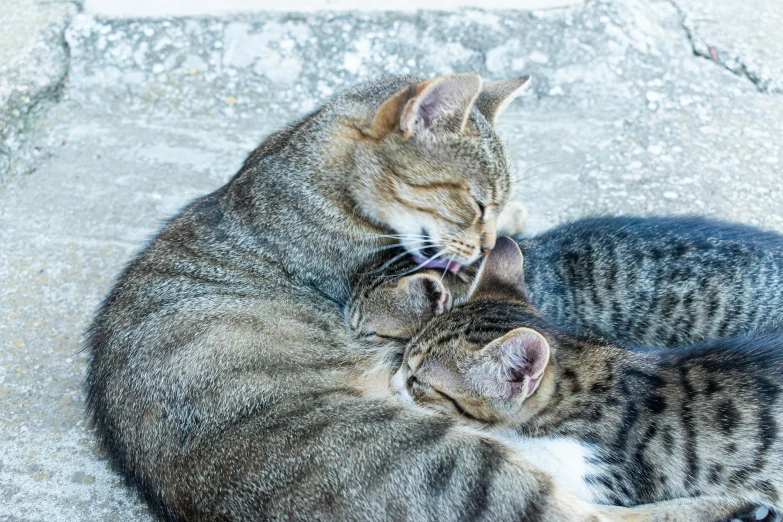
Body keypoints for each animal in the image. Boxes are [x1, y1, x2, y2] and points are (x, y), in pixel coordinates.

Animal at [84, 73, 736, 520]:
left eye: (493, 201)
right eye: (474, 200)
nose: (483, 242)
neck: (305, 168)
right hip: (456, 459)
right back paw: (729, 502)